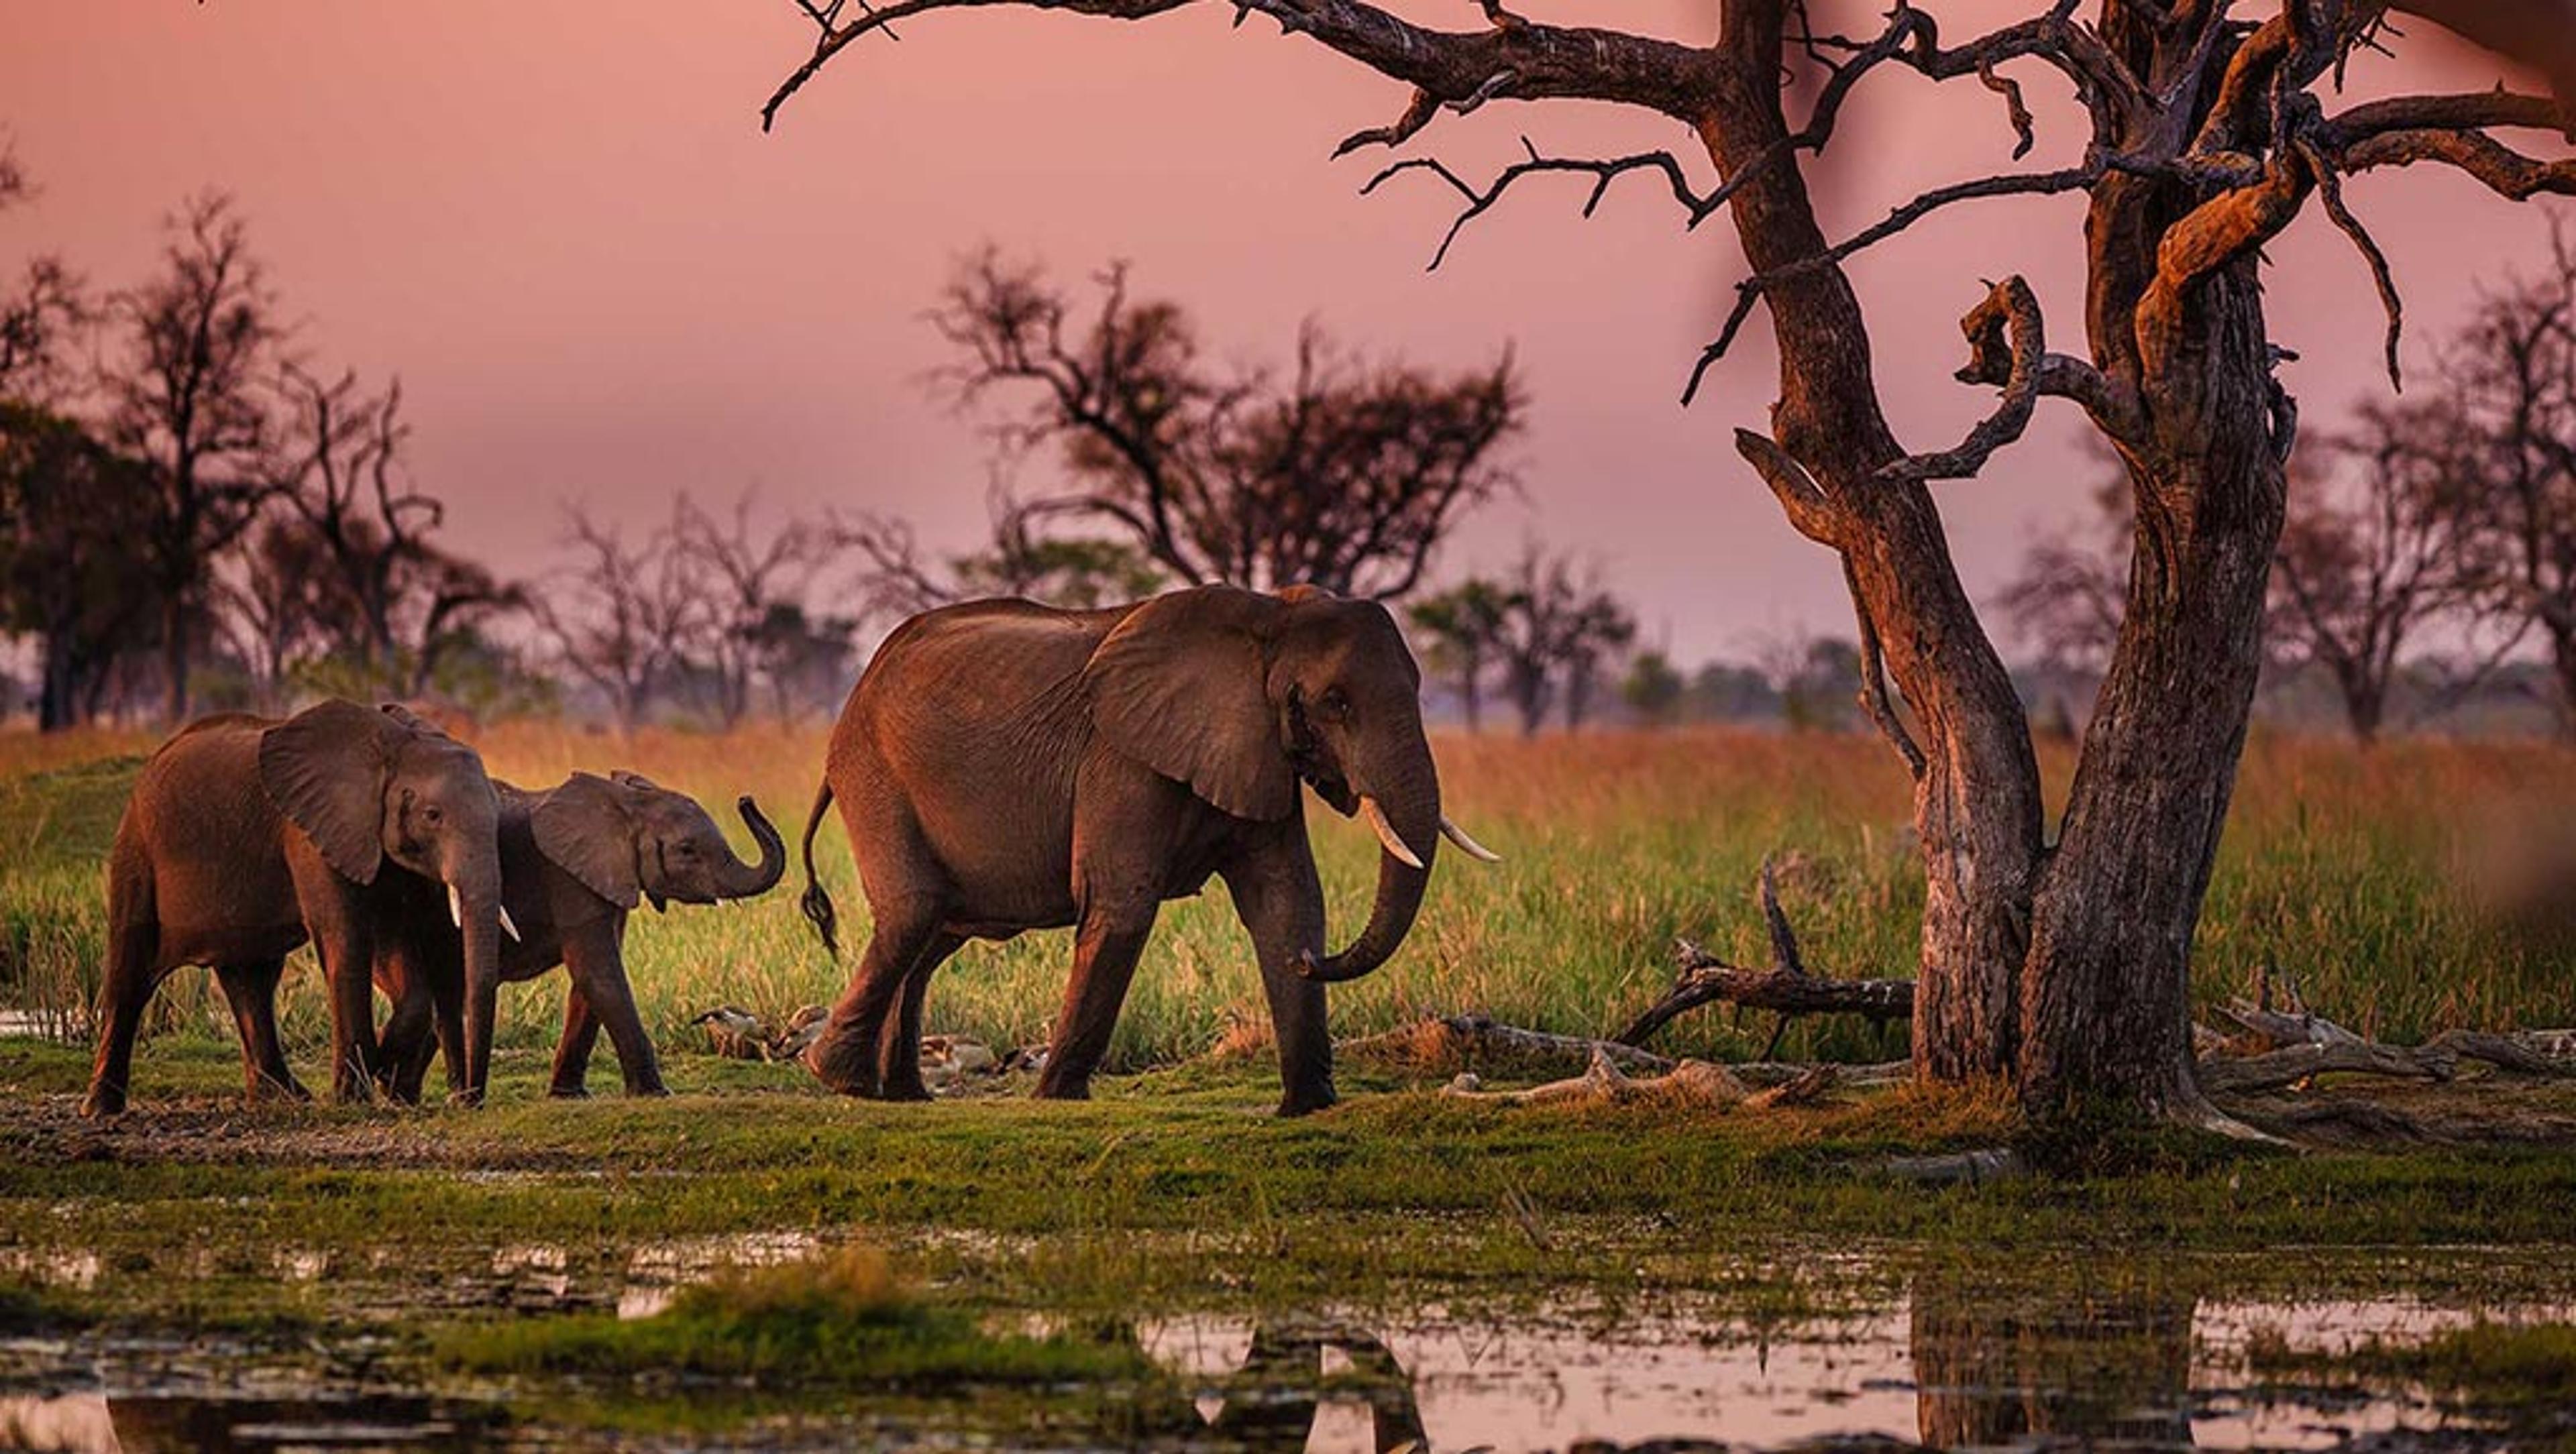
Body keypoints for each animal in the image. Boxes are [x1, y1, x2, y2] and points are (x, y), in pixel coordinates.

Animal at [82, 700, 511, 1117]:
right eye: (433, 815)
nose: (469, 1102)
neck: (393, 747)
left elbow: (397, 951)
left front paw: (384, 1071)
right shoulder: (311, 835)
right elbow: (346, 939)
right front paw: (357, 1094)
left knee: (252, 980)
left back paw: (283, 1098)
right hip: (137, 848)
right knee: (130, 972)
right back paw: (102, 1108)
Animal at [373, 771, 787, 1101]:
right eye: (687, 850)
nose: (745, 799)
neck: (624, 803)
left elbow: (590, 983)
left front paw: (570, 1096)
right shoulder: (567, 878)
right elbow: (599, 973)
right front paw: (657, 1094)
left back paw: (401, 1095)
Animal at [793, 583, 1497, 1115]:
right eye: (1336, 703)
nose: (1310, 963)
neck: (1269, 616)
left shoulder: (1257, 750)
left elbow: (1287, 900)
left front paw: (1308, 1106)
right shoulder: (1122, 758)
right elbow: (1122, 906)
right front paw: (1056, 1100)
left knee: (935, 935)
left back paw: (901, 1096)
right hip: (877, 777)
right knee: (913, 915)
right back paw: (842, 1079)